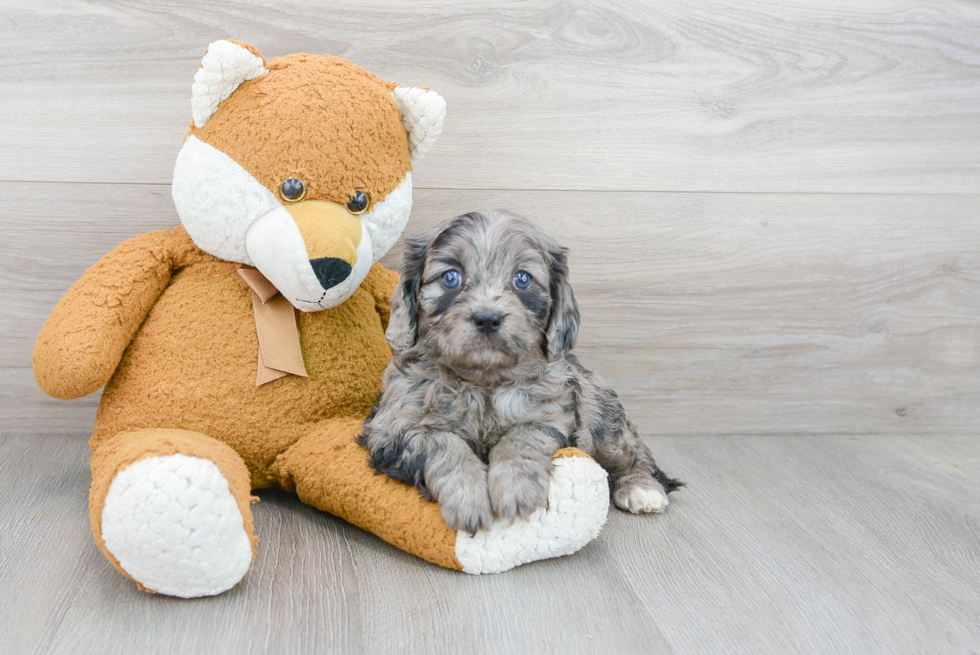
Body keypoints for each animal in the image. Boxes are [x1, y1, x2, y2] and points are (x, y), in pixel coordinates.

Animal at [360, 210, 680, 532]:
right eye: (450, 277)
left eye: (522, 279)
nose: (487, 318)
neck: (483, 383)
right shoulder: (392, 427)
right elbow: (443, 442)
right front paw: (469, 498)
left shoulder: (553, 417)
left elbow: (521, 436)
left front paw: (516, 490)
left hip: (605, 421)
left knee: (635, 456)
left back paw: (642, 489)